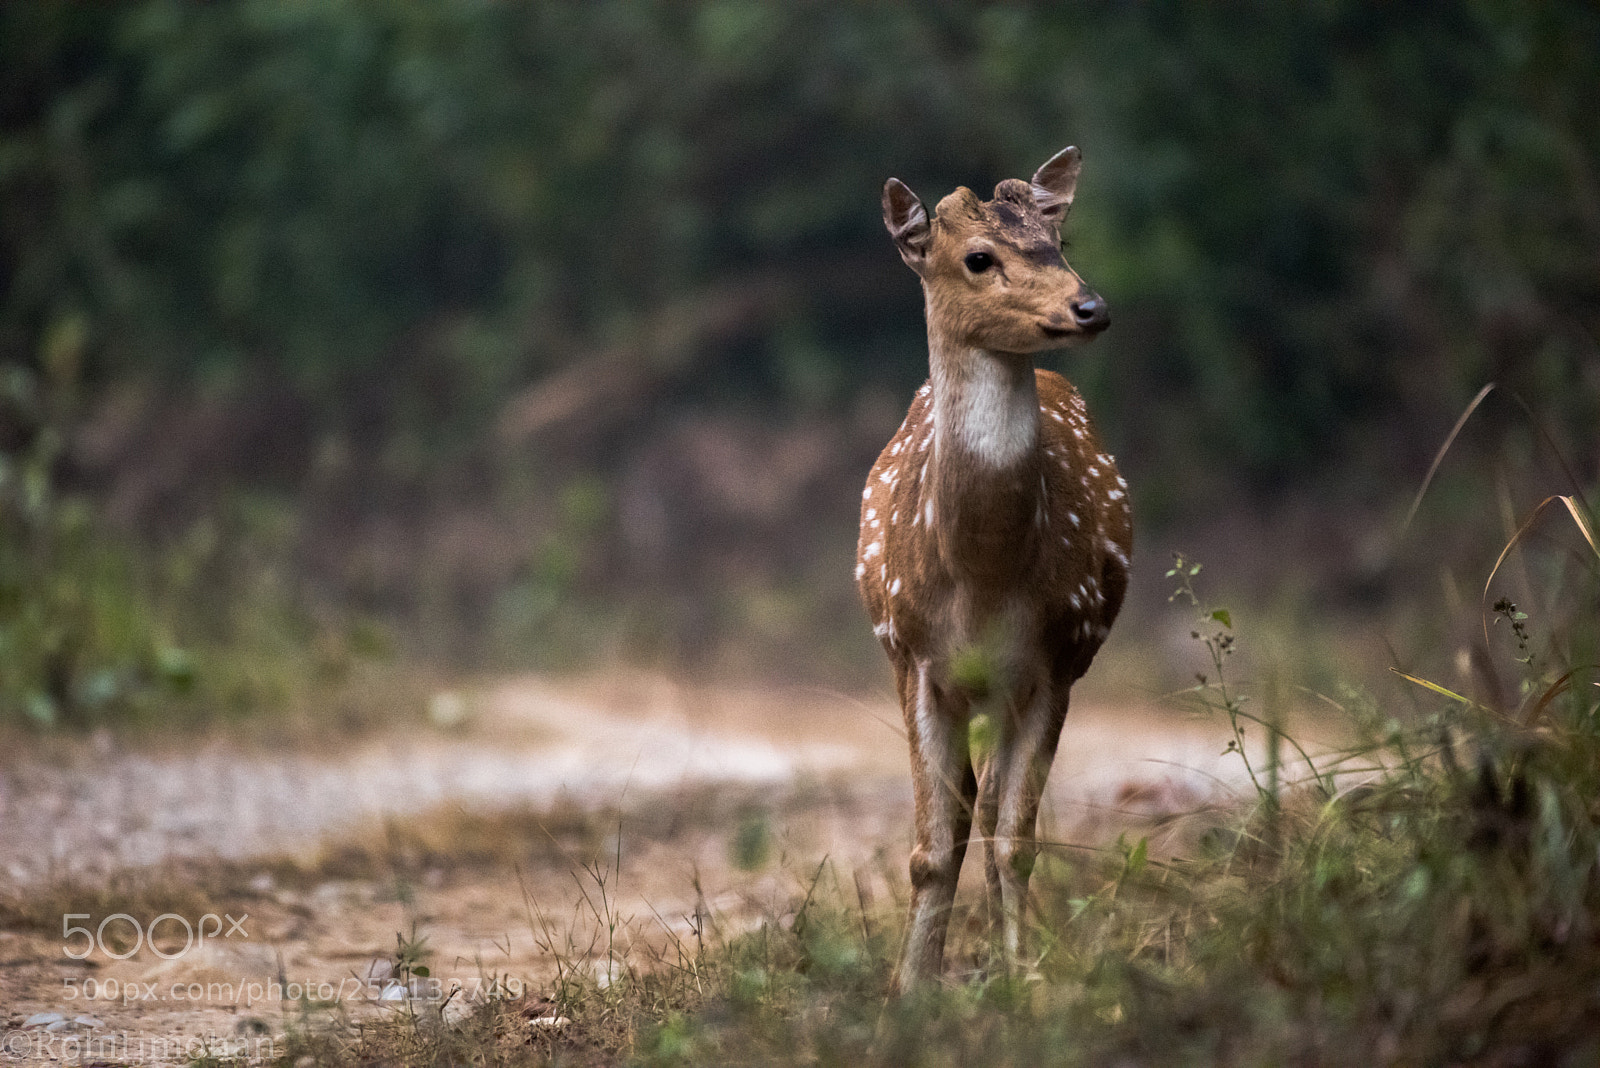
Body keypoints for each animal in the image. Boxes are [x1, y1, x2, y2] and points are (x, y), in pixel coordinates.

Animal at [856, 146, 1131, 992]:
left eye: (1059, 239)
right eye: (978, 258)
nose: (1089, 307)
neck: (981, 578)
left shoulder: (1054, 661)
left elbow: (1015, 841)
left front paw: (1024, 981)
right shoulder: (913, 658)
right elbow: (928, 847)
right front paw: (909, 990)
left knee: (990, 810)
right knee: (966, 808)